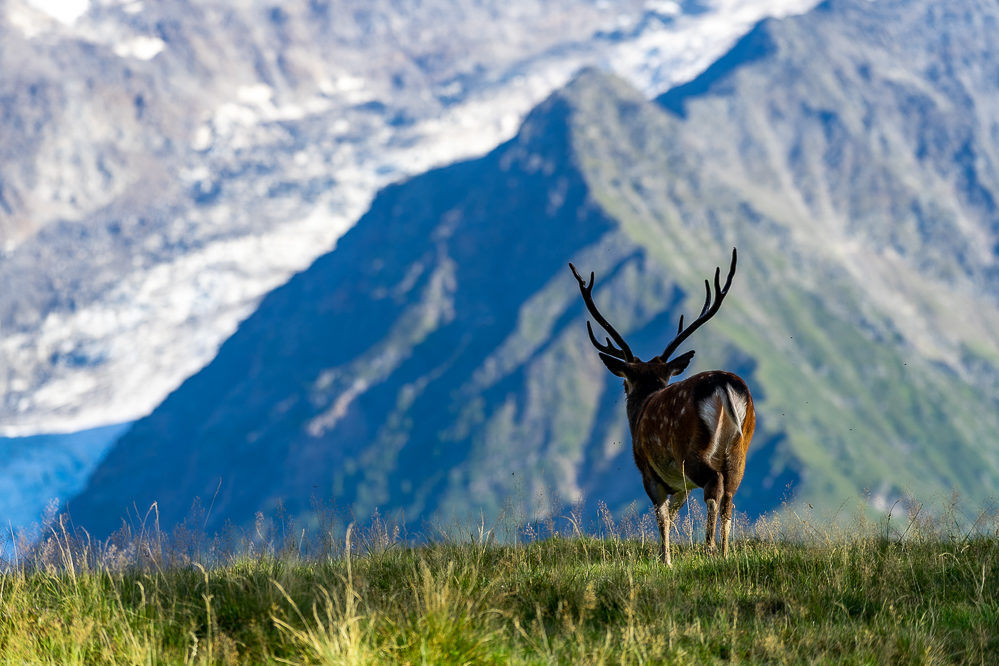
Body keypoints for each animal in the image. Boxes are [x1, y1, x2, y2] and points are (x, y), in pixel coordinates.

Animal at [576, 249, 752, 564]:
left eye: (626, 383)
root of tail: (724, 385)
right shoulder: (680, 485)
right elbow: (672, 513)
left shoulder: (649, 471)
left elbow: (662, 516)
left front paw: (665, 559)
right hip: (740, 446)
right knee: (730, 492)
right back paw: (724, 552)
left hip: (691, 448)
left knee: (714, 483)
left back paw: (708, 549)